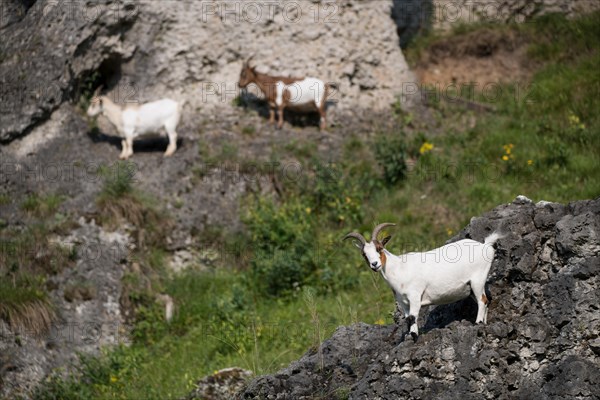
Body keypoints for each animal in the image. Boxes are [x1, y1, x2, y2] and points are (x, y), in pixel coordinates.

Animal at [342, 222, 502, 340]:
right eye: (364, 254)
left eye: (379, 248)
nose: (375, 264)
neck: (400, 268)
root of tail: (485, 245)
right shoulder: (403, 301)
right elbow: (407, 318)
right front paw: (408, 335)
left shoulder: (414, 295)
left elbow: (413, 316)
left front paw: (414, 336)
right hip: (471, 287)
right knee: (486, 300)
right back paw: (484, 323)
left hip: (477, 280)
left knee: (482, 300)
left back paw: (478, 323)